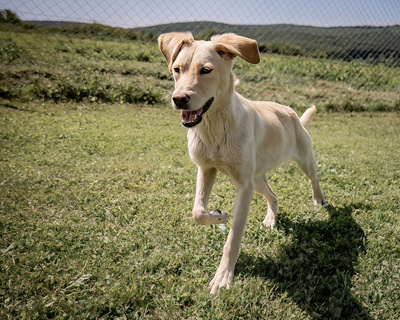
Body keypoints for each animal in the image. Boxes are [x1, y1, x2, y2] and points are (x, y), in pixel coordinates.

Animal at [158, 31, 326, 292]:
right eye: (177, 69)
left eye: (206, 70)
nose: (179, 99)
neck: (215, 124)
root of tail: (292, 113)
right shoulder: (206, 168)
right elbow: (198, 212)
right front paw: (219, 215)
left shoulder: (244, 187)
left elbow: (234, 236)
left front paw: (223, 276)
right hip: (257, 179)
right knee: (273, 196)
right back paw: (270, 219)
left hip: (303, 159)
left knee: (314, 178)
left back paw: (319, 200)